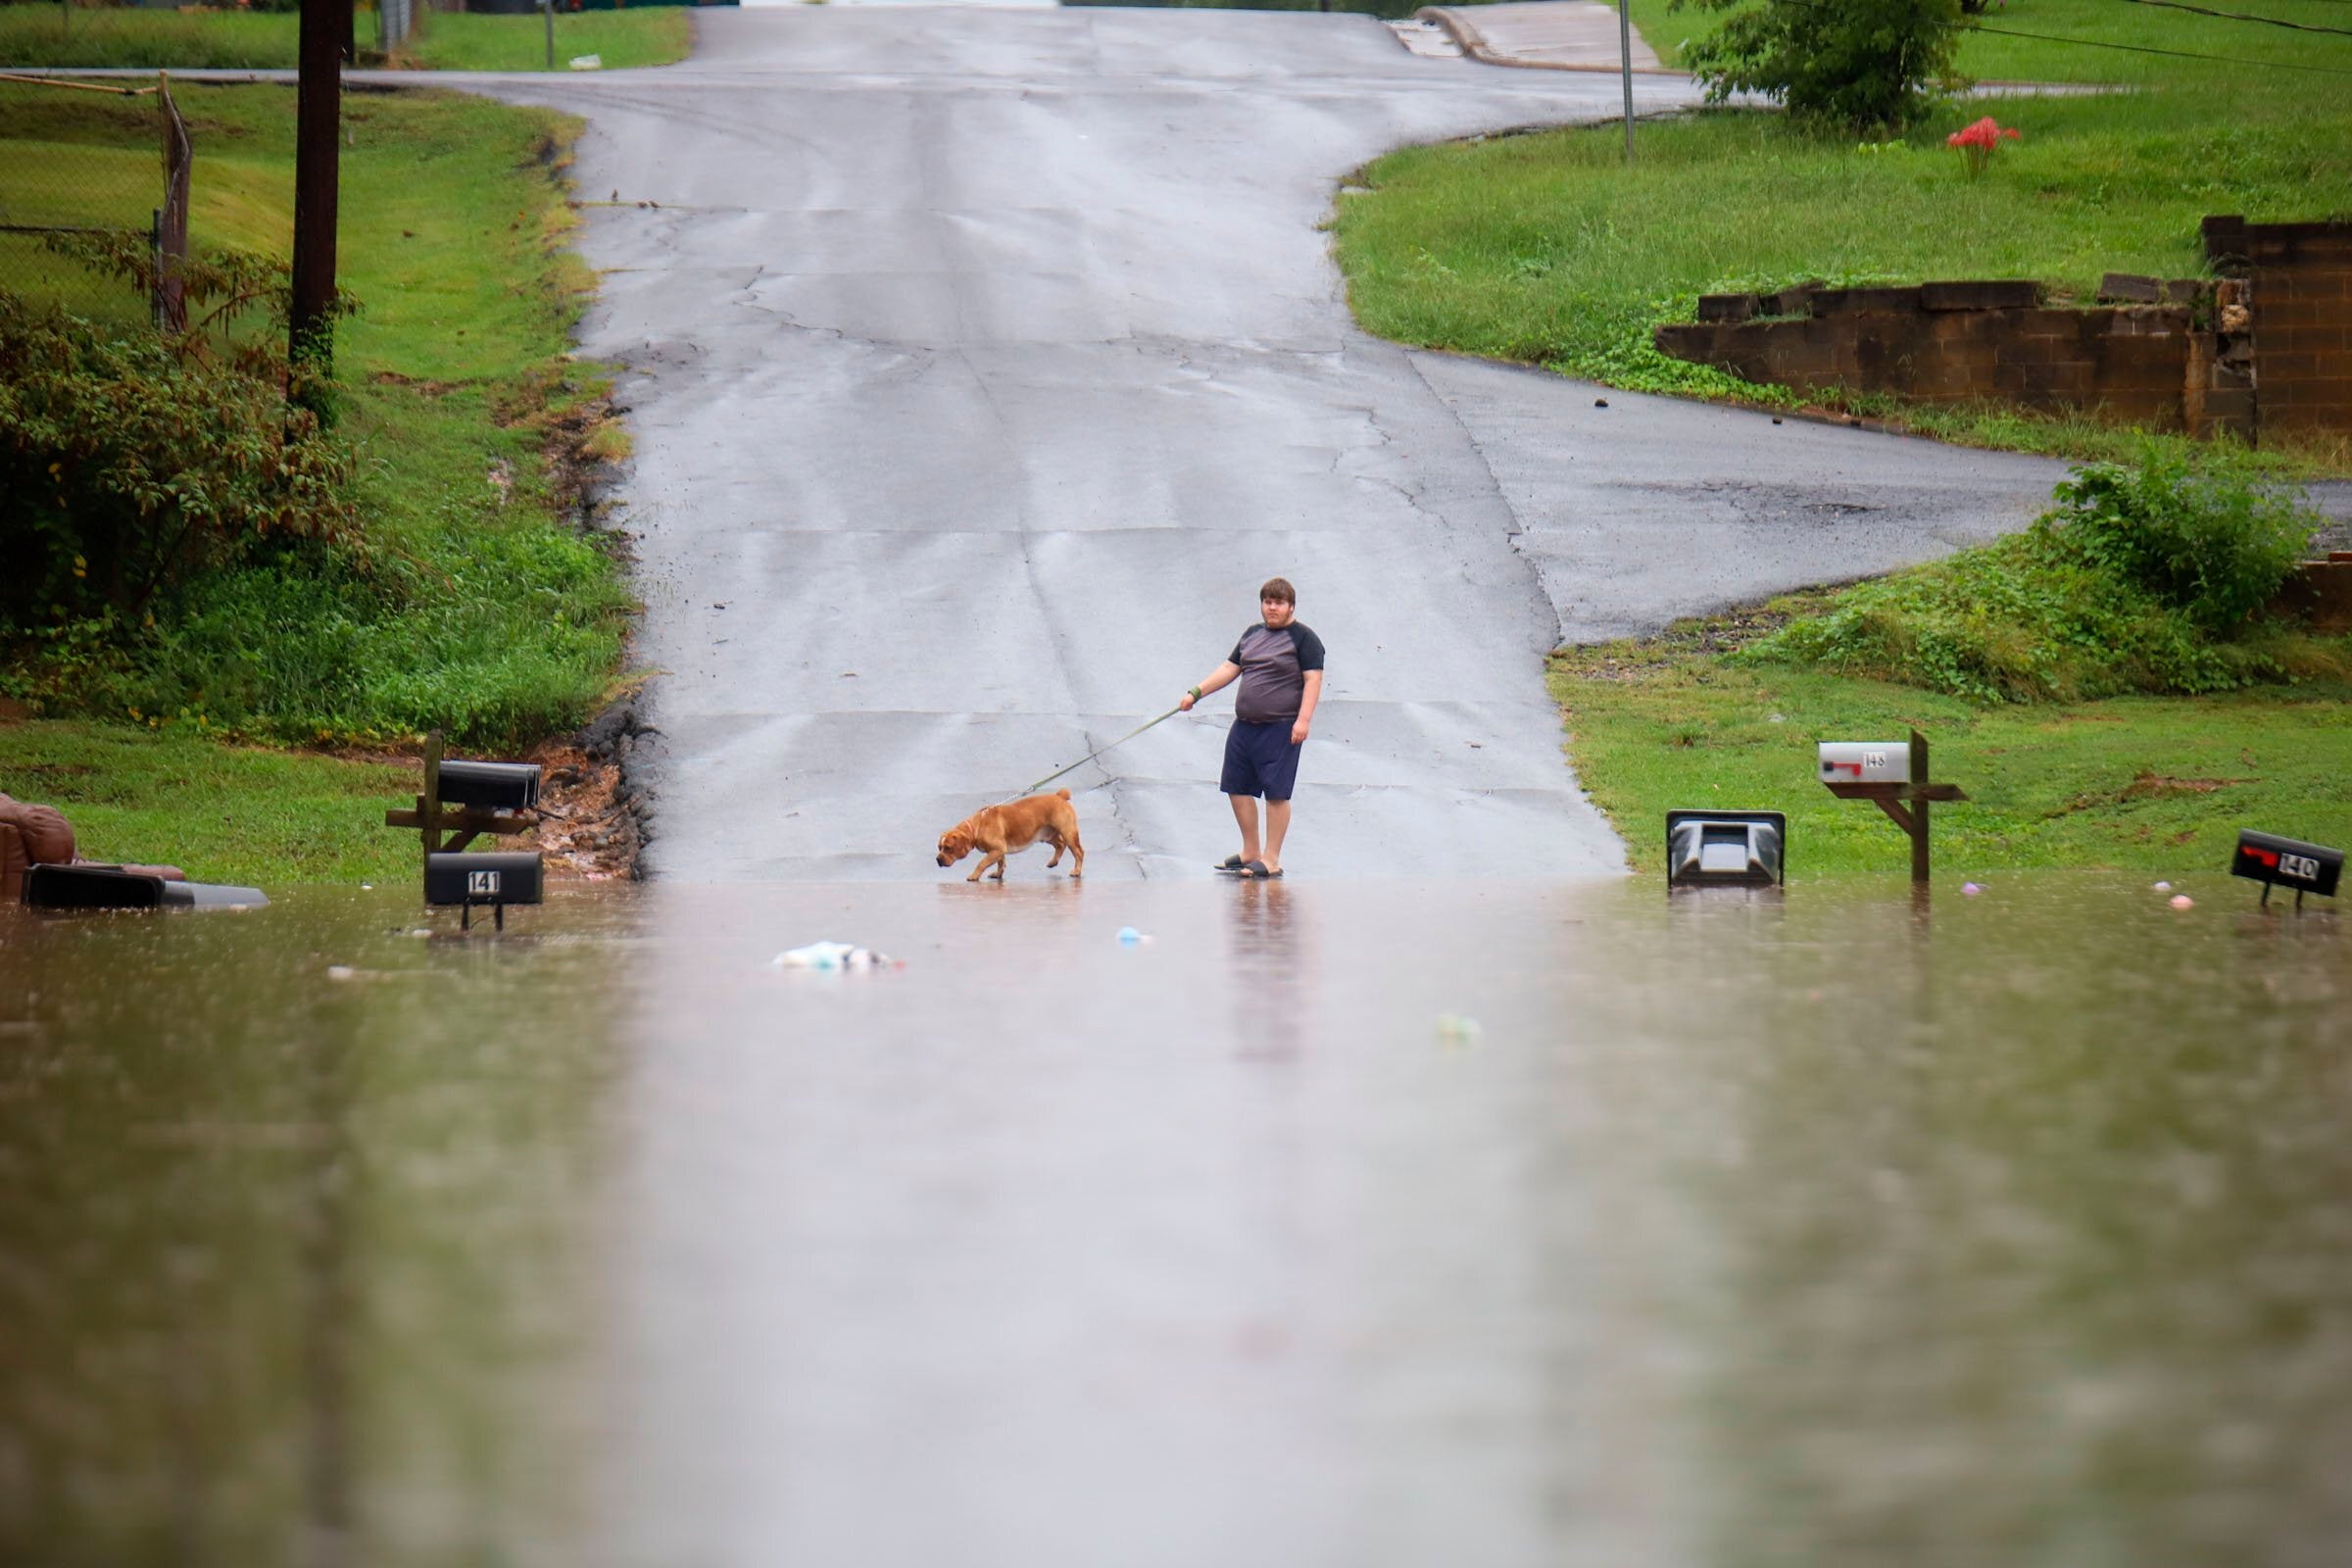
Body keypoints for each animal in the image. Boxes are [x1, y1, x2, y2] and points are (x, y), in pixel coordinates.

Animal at [936, 785, 1082, 883]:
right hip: (1047, 835)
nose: (937, 859)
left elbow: (982, 863)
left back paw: (1077, 871)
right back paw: (1053, 862)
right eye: (939, 847)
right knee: (1060, 845)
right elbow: (1001, 862)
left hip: (1068, 833)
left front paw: (974, 875)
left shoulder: (996, 850)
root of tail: (1059, 796)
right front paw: (997, 874)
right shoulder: (999, 851)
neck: (977, 826)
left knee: (1078, 852)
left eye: (948, 848)